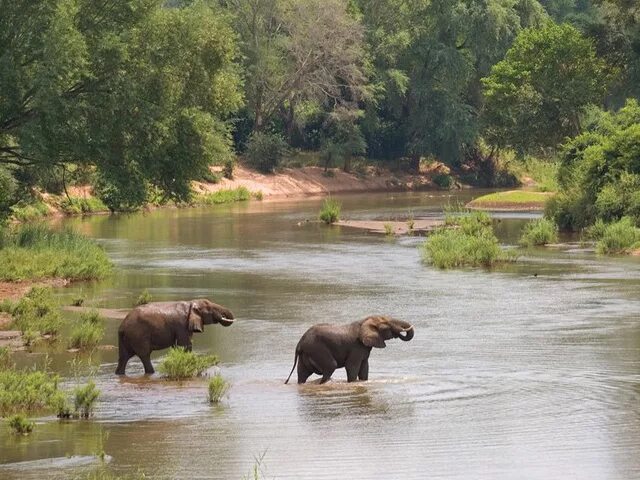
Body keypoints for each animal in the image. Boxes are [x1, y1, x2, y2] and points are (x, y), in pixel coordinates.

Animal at [284, 316, 416, 386]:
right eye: (386, 326)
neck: (365, 320)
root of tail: (300, 343)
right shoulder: (356, 347)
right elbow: (352, 367)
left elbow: (364, 368)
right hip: (317, 349)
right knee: (331, 366)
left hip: (306, 353)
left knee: (302, 373)